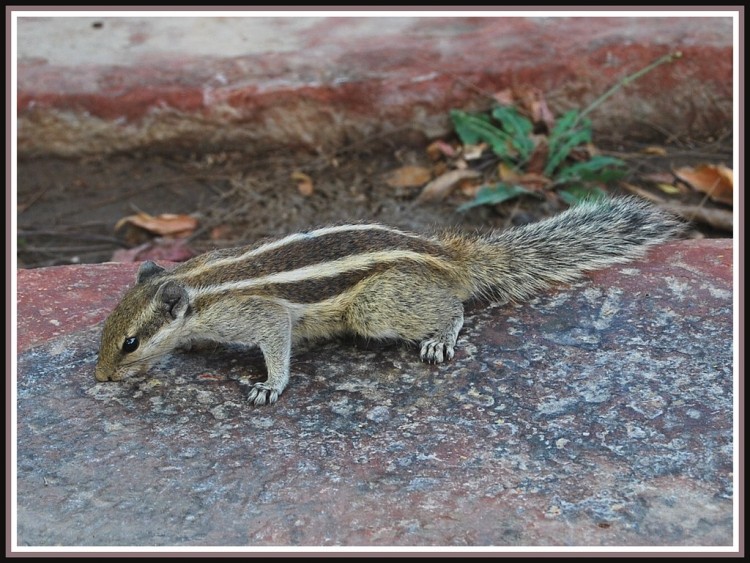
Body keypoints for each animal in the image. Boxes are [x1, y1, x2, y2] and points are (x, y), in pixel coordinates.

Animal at [95, 198, 688, 406]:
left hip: (376, 304)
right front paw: (191, 348)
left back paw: (440, 338)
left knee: (455, 308)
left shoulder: (260, 314)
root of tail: (450, 255)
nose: (100, 377)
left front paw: (270, 384)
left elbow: (277, 342)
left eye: (129, 344)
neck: (199, 284)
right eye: (107, 334)